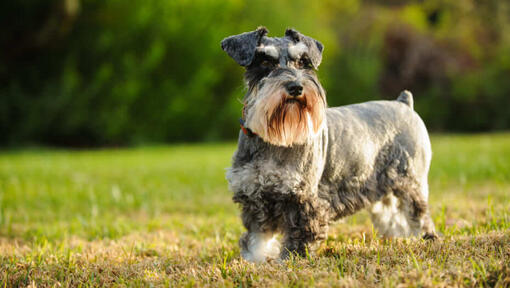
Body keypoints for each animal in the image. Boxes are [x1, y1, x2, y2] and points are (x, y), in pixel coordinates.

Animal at [222, 27, 438, 264]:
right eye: (265, 62)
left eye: (303, 61)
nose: (296, 87)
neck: (272, 140)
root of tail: (404, 103)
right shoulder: (254, 198)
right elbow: (257, 238)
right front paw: (254, 262)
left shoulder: (303, 199)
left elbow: (299, 237)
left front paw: (288, 262)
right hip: (383, 191)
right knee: (394, 218)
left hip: (410, 183)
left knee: (419, 216)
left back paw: (426, 240)